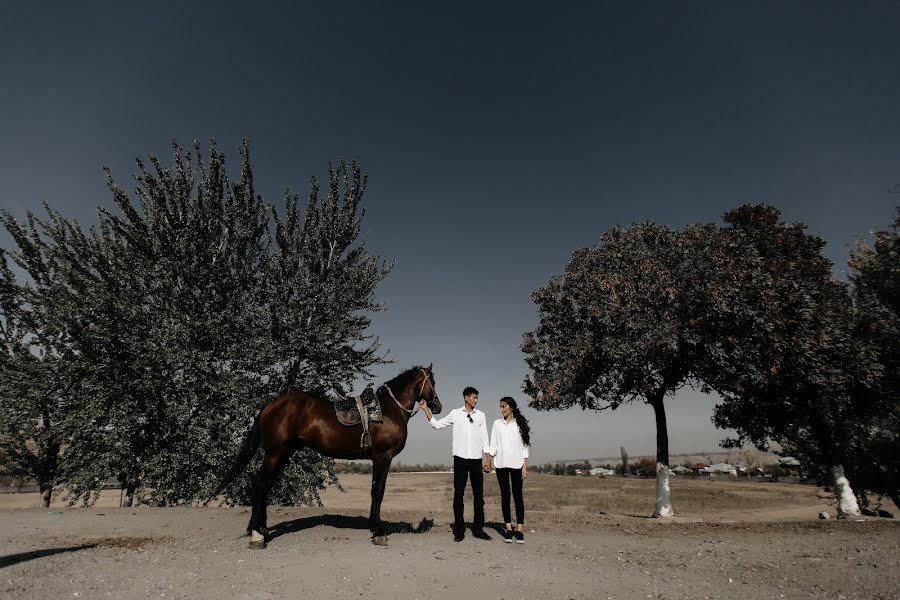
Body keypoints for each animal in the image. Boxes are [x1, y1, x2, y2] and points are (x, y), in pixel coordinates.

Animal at [207, 364, 440, 548]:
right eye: (433, 382)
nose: (437, 406)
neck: (388, 410)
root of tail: (270, 405)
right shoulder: (383, 457)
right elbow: (378, 492)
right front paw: (378, 531)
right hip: (275, 453)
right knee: (261, 484)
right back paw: (257, 534)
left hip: (283, 454)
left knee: (266, 485)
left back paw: (261, 528)